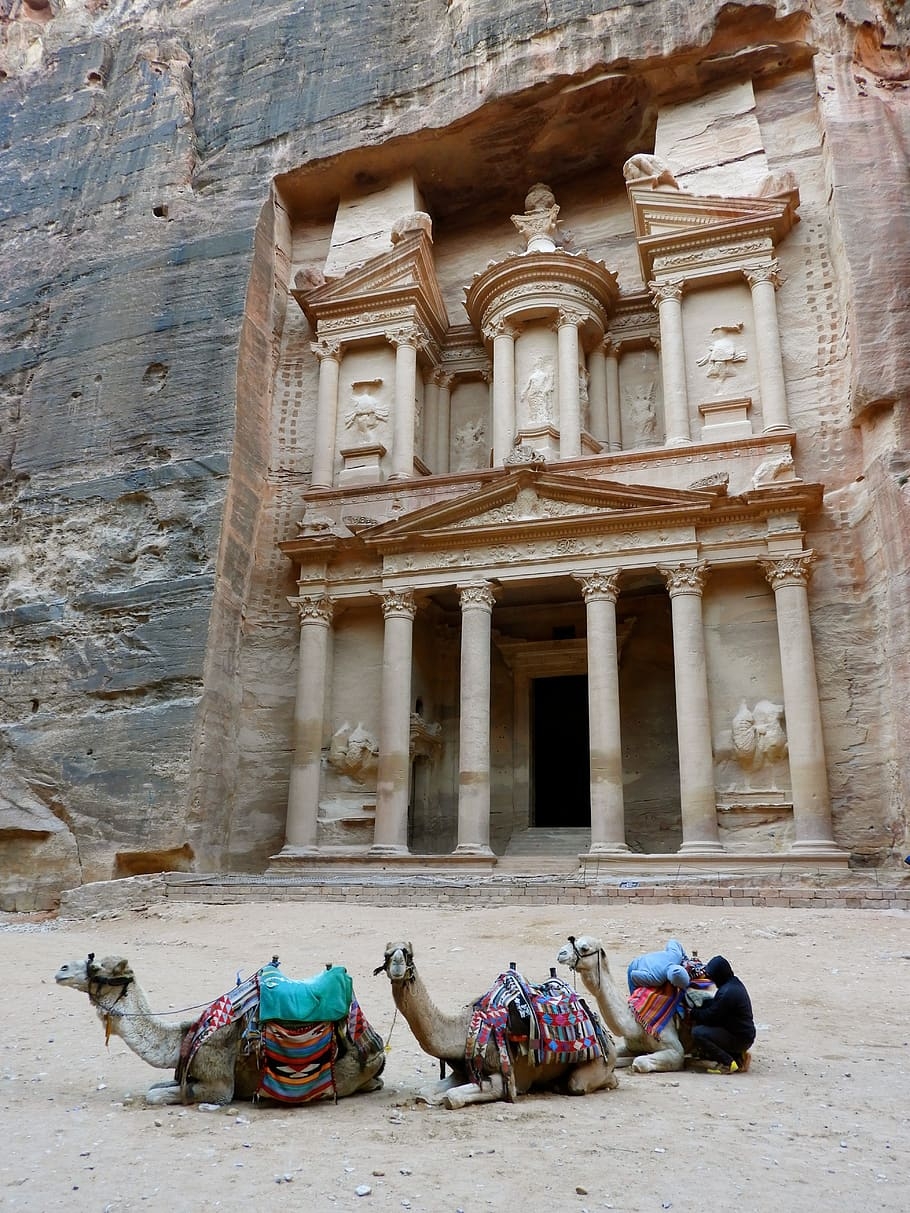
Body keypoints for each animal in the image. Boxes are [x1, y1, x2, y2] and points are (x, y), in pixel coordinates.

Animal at [55, 950, 385, 1106]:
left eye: (96, 968)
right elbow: (156, 1088)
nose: (60, 969)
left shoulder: (219, 1087)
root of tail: (376, 1048)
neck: (184, 1038)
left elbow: (156, 1096)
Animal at [376, 936, 621, 1111]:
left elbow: (452, 1097)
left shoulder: (504, 1077)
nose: (397, 965)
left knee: (585, 1083)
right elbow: (424, 1092)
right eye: (387, 954)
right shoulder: (461, 1072)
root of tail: (604, 1034)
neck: (464, 1029)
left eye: (408, 954)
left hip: (598, 1063)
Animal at [555, 936, 703, 1072]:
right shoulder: (630, 1046)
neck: (637, 1026)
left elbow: (639, 1062)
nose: (561, 953)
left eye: (584, 948)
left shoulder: (675, 1051)